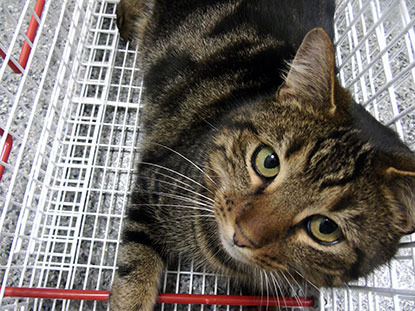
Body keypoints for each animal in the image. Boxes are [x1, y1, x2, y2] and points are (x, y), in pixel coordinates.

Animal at [109, 1, 415, 310]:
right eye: (268, 161)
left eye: (325, 228)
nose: (242, 235)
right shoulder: (154, 181)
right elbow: (137, 263)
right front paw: (131, 299)